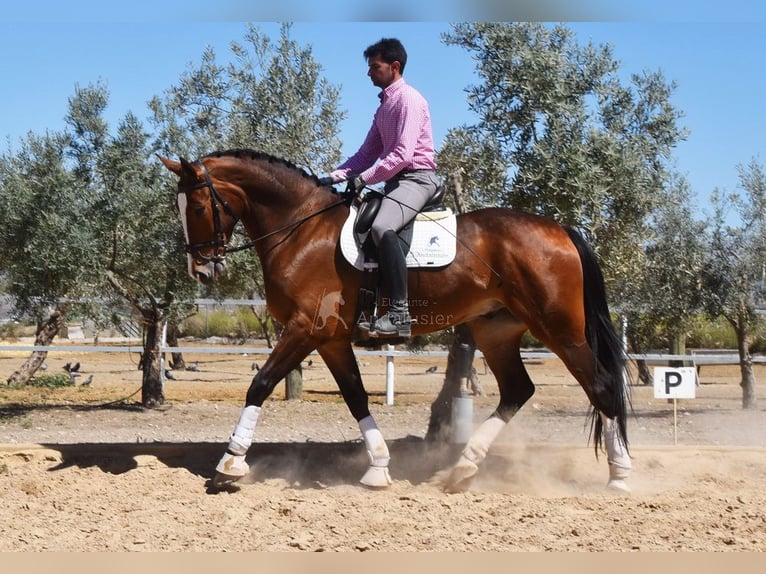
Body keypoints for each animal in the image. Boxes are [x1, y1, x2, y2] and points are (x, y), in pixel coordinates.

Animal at [159, 150, 632, 496]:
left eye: (197, 206)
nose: (200, 271)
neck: (302, 230)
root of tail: (562, 230)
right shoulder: (329, 339)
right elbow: (356, 398)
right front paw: (379, 469)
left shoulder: (304, 329)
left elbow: (260, 384)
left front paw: (229, 464)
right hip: (495, 330)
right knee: (518, 390)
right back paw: (462, 470)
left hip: (562, 331)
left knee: (602, 386)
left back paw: (620, 476)